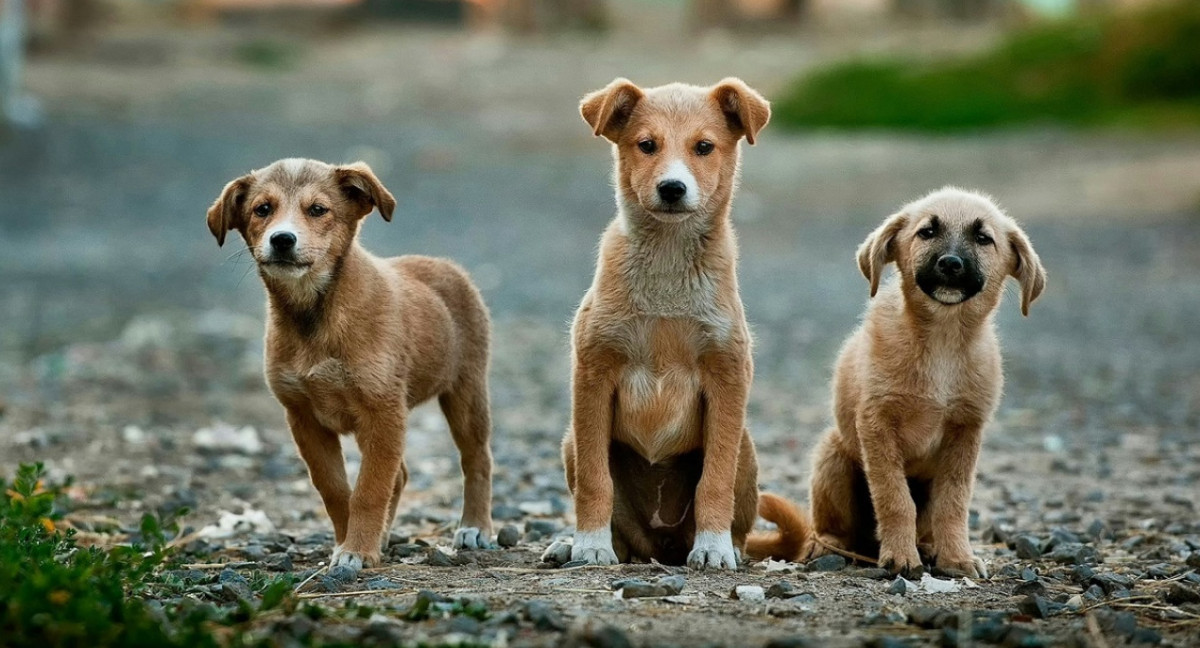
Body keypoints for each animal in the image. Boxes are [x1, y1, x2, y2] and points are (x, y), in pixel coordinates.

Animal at [204, 158, 494, 571]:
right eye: (262, 209)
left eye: (318, 210)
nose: (282, 239)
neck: (315, 315)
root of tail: (445, 265)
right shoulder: (304, 417)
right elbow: (336, 489)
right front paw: (349, 543)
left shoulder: (382, 411)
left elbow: (370, 489)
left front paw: (357, 549)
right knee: (401, 475)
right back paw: (384, 536)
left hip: (466, 392)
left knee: (476, 459)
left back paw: (474, 527)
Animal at [549, 78, 772, 568]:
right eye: (646, 145)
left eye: (704, 147)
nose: (672, 188)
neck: (668, 267)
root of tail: (661, 547)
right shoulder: (593, 373)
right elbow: (595, 480)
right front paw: (589, 544)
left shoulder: (728, 375)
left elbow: (715, 480)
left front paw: (713, 547)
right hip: (570, 440)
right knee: (621, 529)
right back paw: (575, 544)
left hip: (746, 448)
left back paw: (726, 545)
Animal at [744, 186, 1046, 576]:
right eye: (927, 232)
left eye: (983, 238)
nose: (951, 263)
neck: (942, 340)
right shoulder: (877, 424)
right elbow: (894, 498)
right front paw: (901, 556)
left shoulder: (966, 432)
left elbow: (954, 502)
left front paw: (956, 557)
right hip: (832, 456)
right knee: (831, 527)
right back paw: (829, 546)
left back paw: (929, 547)